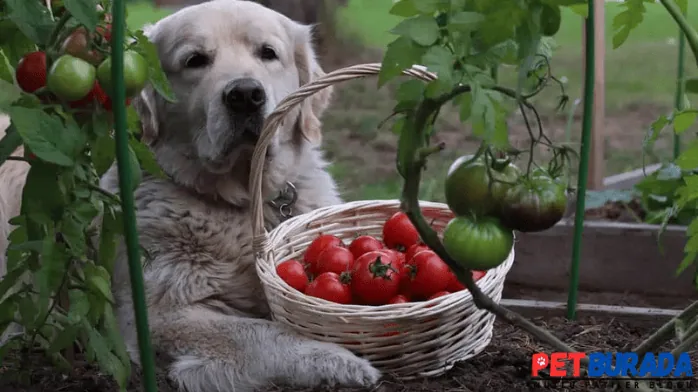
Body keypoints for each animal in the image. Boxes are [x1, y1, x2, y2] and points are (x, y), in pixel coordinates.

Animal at [0, 1, 380, 390]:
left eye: (268, 53)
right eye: (195, 60)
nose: (246, 95)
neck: (239, 201)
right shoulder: (160, 314)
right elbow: (267, 331)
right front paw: (340, 359)